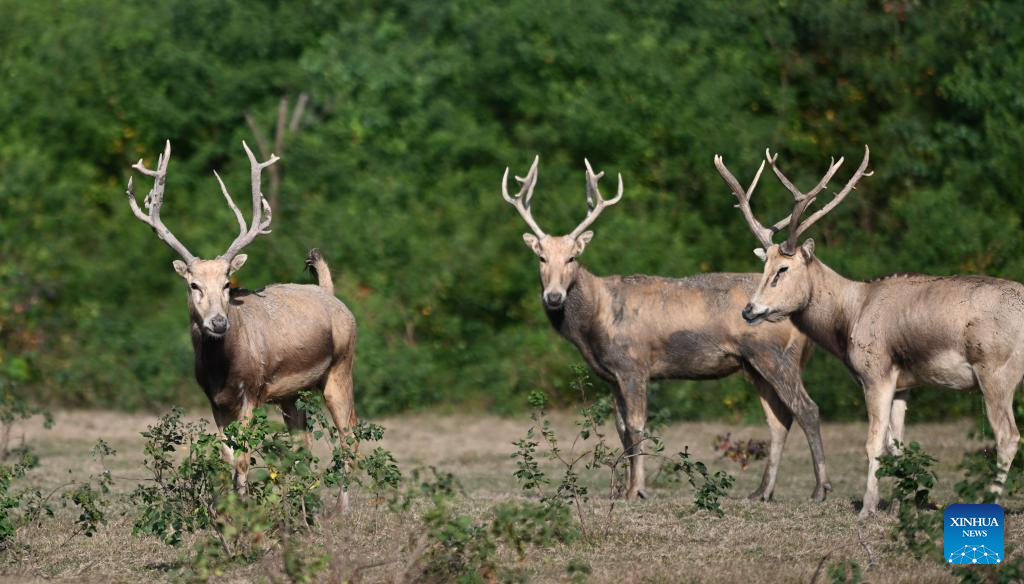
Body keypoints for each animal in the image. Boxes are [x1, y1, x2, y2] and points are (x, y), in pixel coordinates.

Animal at [125, 139, 358, 504]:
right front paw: (229, 507)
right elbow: (227, 457)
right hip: (291, 393)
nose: (218, 323)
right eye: (194, 285)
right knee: (302, 444)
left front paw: (245, 511)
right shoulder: (214, 400)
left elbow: (245, 458)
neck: (224, 369)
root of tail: (330, 294)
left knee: (349, 436)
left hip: (341, 365)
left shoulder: (251, 390)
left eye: (226, 283)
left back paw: (343, 508)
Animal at [501, 155, 831, 499]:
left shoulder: (633, 364)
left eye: (572, 258)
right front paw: (625, 488)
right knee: (779, 419)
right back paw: (761, 492)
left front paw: (637, 490)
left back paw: (819, 489)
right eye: (541, 257)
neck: (596, 321)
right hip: (754, 364)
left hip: (776, 356)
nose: (554, 296)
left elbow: (637, 426)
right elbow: (621, 428)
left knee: (807, 409)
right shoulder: (611, 375)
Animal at [716, 144, 1024, 514]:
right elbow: (897, 444)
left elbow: (873, 443)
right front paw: (902, 503)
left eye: (783, 269)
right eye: (764, 267)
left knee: (1008, 436)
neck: (851, 314)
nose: (749, 310)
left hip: (995, 370)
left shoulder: (875, 372)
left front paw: (868, 506)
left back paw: (988, 500)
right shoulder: (904, 384)